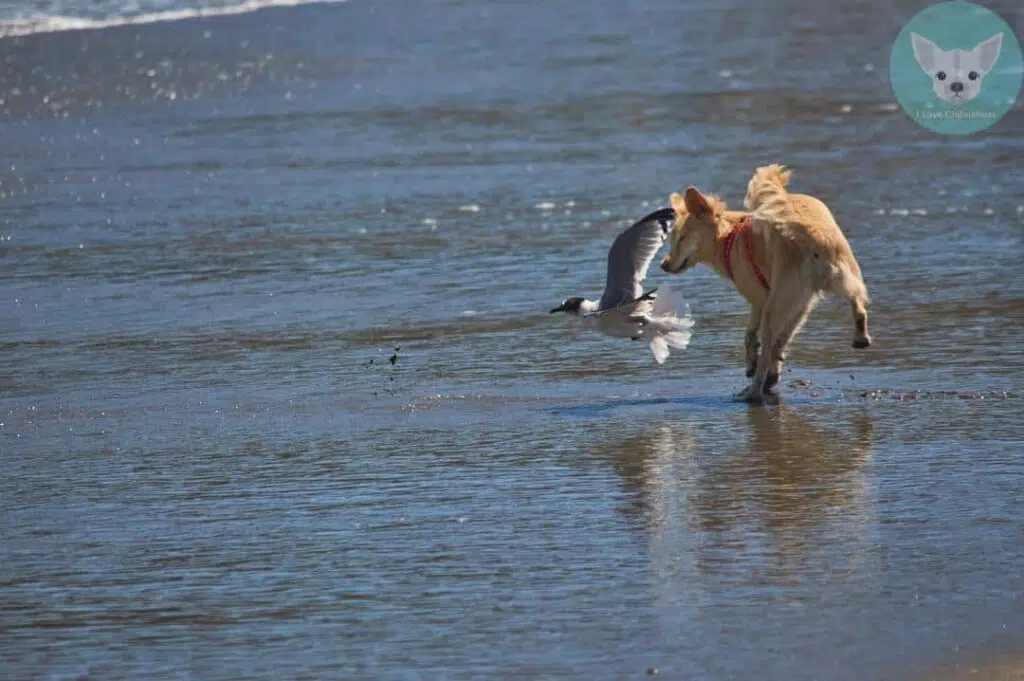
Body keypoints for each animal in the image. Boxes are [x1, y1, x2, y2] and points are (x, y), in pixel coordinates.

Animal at [659, 163, 868, 403]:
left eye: (681, 237)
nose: (663, 265)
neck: (728, 237)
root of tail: (810, 234)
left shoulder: (760, 300)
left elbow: (752, 337)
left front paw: (755, 367)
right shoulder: (800, 303)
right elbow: (778, 339)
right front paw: (771, 374)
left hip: (777, 304)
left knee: (767, 347)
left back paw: (752, 393)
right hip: (841, 277)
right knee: (858, 304)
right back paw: (861, 336)